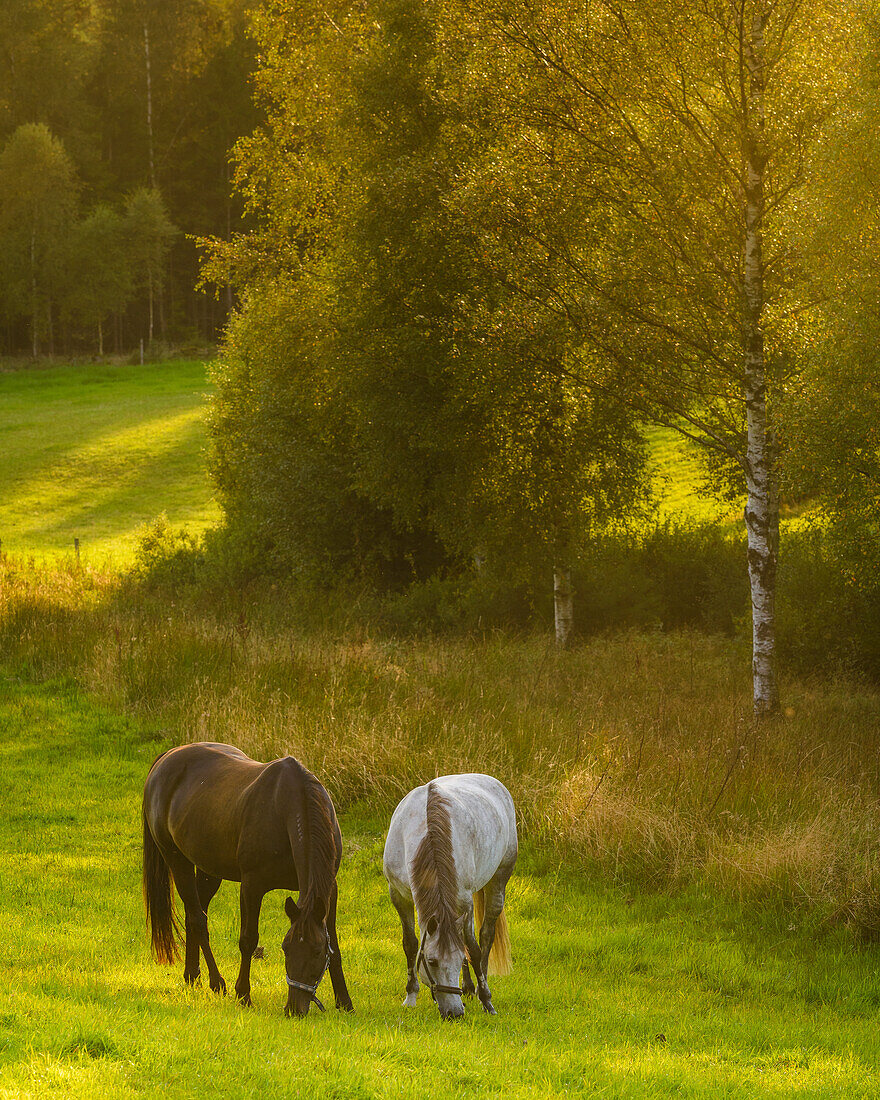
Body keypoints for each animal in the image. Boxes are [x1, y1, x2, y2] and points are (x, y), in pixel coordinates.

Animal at [143, 743, 352, 1016]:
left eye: (317, 951)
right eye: (285, 949)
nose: (294, 1009)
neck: (288, 809)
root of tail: (167, 757)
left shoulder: (329, 890)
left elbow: (334, 946)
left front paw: (345, 1001)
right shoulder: (252, 886)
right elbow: (248, 939)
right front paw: (243, 995)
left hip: (210, 870)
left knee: (193, 915)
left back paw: (192, 976)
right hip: (178, 862)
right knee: (198, 920)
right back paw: (216, 981)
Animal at [382, 774, 519, 1020]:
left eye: (457, 960)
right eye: (431, 961)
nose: (454, 1013)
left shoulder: (464, 902)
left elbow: (473, 949)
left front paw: (487, 1000)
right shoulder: (398, 895)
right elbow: (410, 944)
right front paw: (411, 996)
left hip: (498, 882)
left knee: (486, 936)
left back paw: (478, 988)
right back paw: (468, 988)